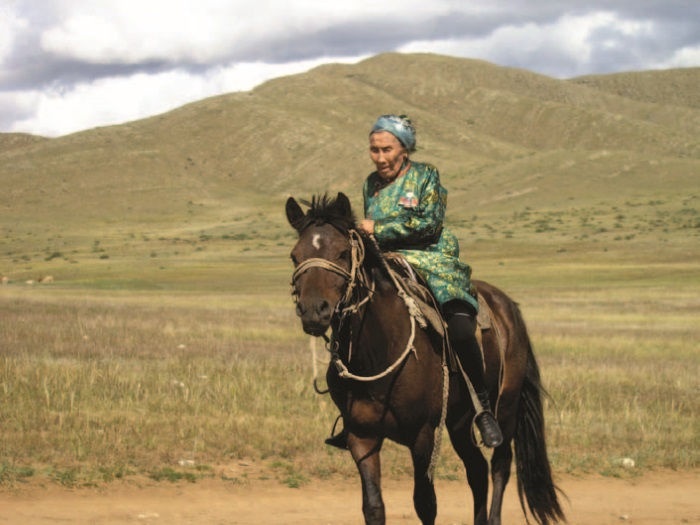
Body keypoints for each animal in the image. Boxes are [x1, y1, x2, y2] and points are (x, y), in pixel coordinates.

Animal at [284, 193, 564, 524]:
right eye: (295, 256)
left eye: (341, 253)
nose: (314, 311)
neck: (377, 351)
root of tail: (507, 305)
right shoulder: (361, 436)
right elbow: (373, 507)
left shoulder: (423, 435)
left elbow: (425, 504)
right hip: (459, 422)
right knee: (477, 470)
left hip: (505, 410)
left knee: (499, 465)